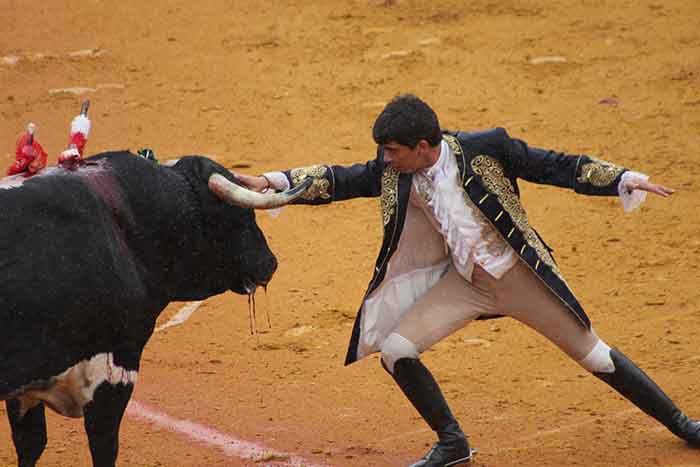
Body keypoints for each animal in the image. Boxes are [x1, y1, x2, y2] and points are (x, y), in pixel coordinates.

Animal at [0, 152, 308, 466]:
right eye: (239, 216)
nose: (269, 262)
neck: (128, 223)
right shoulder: (115, 371)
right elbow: (103, 446)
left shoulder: (29, 387)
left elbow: (31, 444)